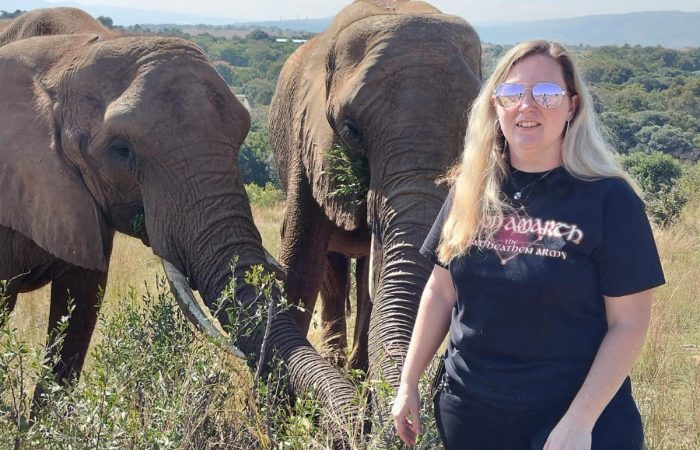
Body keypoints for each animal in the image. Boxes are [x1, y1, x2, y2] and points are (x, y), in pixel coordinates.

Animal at [268, 0, 482, 390]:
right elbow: (300, 267)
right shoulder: (306, 141)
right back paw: (336, 361)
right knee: (331, 272)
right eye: (352, 130)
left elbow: (376, 285)